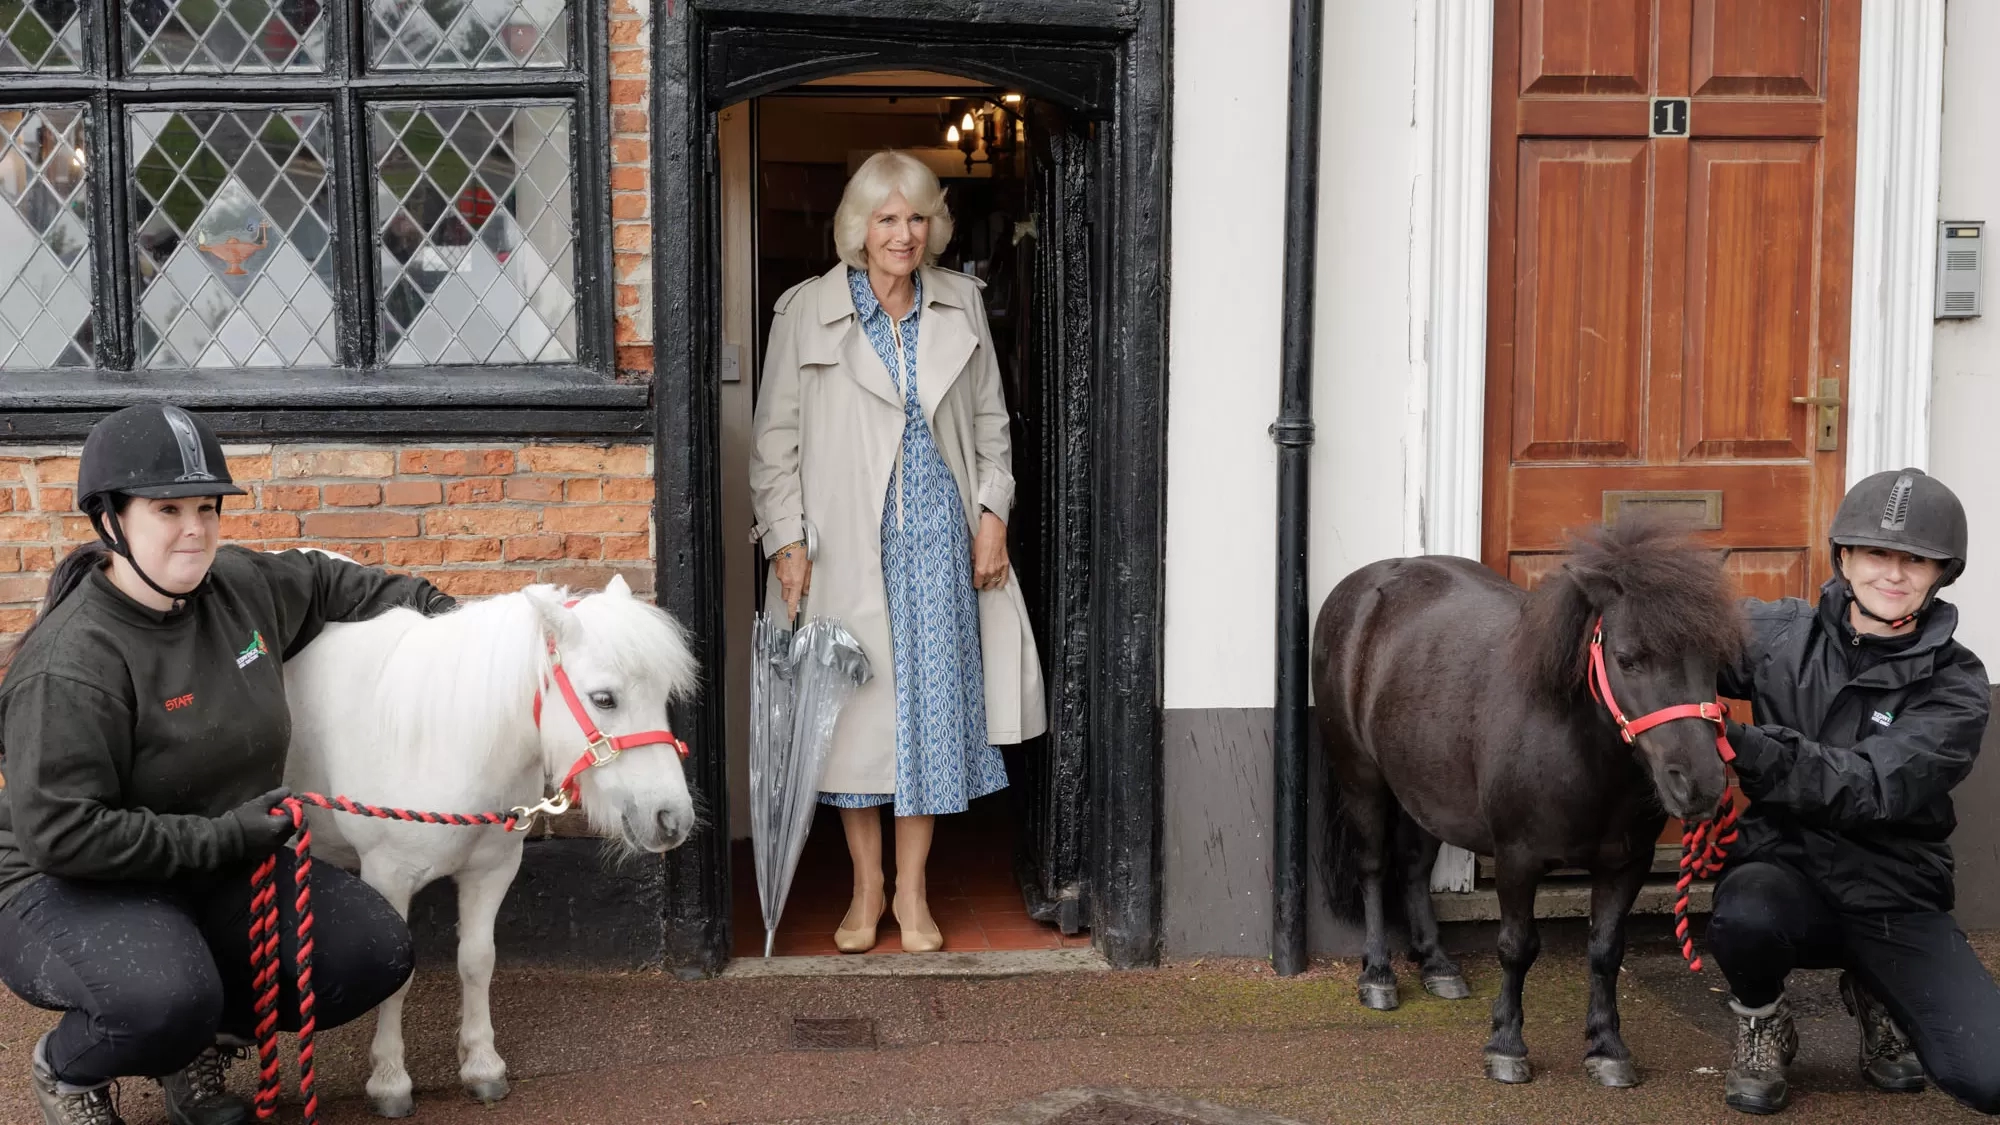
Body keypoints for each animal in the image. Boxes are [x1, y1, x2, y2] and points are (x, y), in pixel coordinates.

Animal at [282, 568, 700, 1112]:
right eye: (604, 698)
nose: (672, 819)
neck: (441, 739)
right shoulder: (387, 875)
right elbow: (399, 976)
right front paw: (390, 1079)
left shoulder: (492, 869)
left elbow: (478, 961)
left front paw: (482, 1064)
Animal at [1304, 512, 1744, 1080]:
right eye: (1628, 659)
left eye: (1715, 659)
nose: (1700, 784)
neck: (1576, 748)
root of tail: (1359, 587)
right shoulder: (1518, 858)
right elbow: (1516, 947)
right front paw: (1507, 1045)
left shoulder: (1628, 864)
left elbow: (1606, 949)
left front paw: (1607, 1048)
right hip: (1362, 777)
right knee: (1375, 867)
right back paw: (1378, 975)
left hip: (1426, 790)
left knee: (1415, 865)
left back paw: (1437, 965)